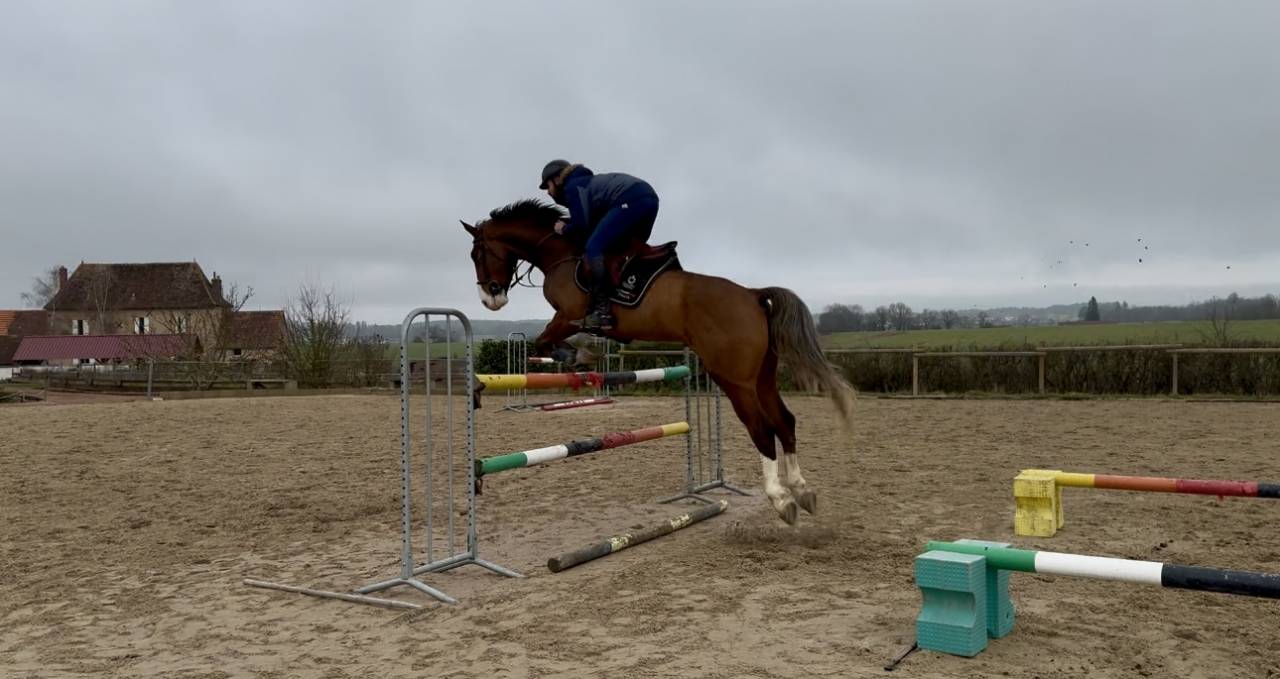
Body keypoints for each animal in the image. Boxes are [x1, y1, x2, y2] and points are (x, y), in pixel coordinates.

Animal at [462, 199, 855, 524]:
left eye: (476, 253)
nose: (490, 300)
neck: (560, 254)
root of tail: (753, 294)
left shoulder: (569, 315)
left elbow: (548, 339)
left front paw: (579, 354)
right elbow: (554, 340)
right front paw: (582, 355)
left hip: (733, 378)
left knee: (761, 427)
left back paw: (781, 499)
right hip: (762, 377)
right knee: (785, 421)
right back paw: (802, 491)